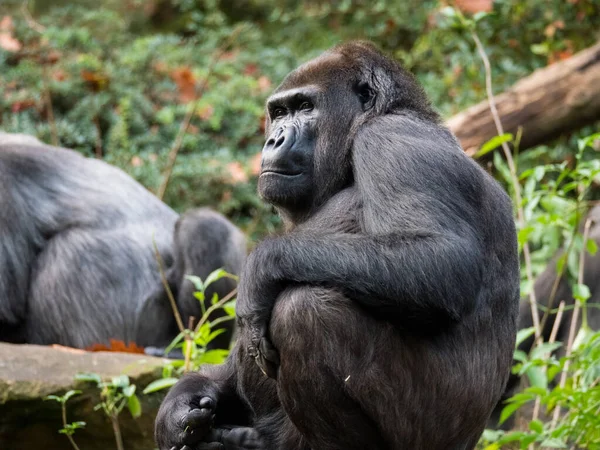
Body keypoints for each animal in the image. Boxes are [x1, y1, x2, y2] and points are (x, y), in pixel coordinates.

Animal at [155, 40, 520, 448]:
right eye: (278, 112)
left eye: (305, 107)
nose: (273, 139)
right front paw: (178, 411)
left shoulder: (390, 139)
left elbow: (443, 261)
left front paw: (262, 266)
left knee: (304, 312)